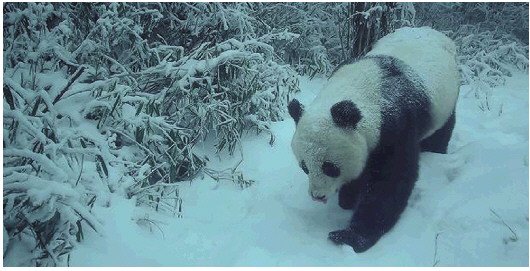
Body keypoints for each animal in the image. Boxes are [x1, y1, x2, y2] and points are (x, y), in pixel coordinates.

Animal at [286, 26, 456, 254]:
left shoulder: (396, 124)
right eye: (304, 167)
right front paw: (347, 198)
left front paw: (349, 237)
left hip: (445, 101)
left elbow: (390, 181)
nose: (318, 196)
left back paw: (435, 150)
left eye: (330, 167)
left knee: (442, 131)